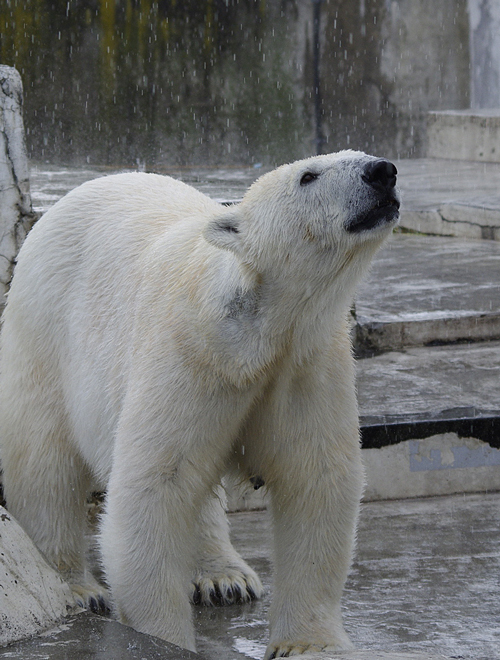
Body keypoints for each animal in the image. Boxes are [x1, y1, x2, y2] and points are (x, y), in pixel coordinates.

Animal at [0, 152, 398, 656]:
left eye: (361, 155)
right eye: (308, 175)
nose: (382, 171)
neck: (260, 331)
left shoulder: (307, 365)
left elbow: (316, 480)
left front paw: (309, 643)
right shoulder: (189, 355)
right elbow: (152, 487)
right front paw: (164, 638)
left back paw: (224, 577)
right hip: (44, 330)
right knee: (43, 462)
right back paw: (76, 587)